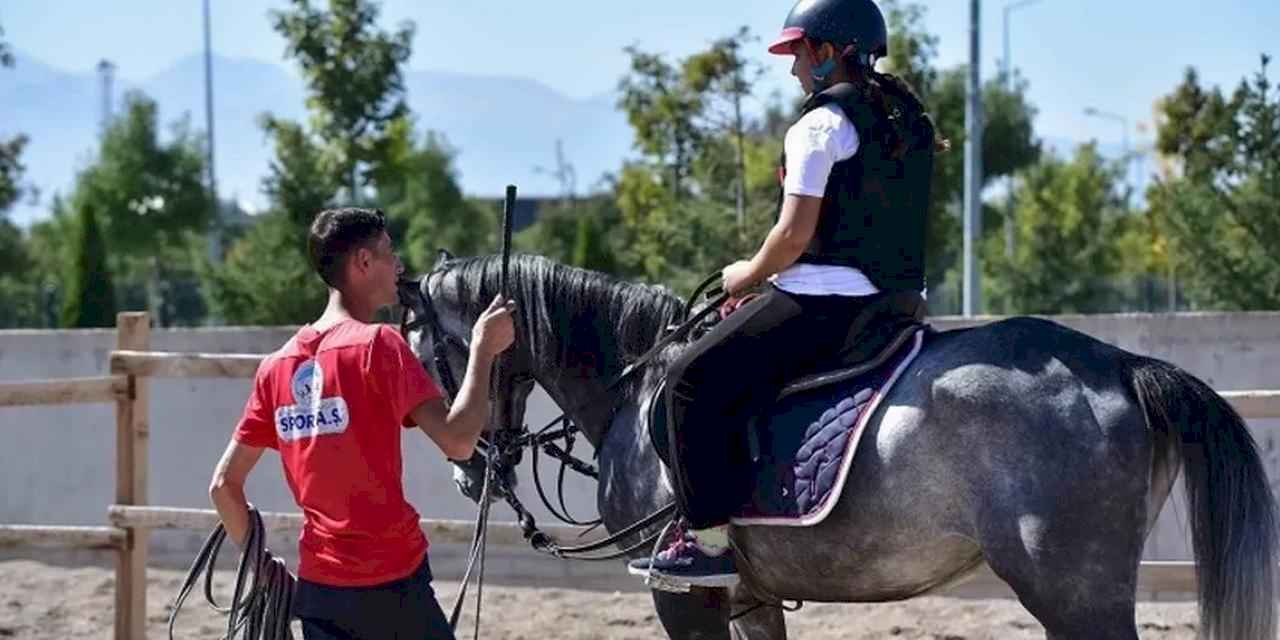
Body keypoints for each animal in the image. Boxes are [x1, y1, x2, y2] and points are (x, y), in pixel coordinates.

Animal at [401, 254, 1280, 640]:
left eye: (422, 350)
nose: (469, 469)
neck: (637, 381)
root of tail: (1123, 364)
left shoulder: (681, 594)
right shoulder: (748, 594)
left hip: (1076, 593)